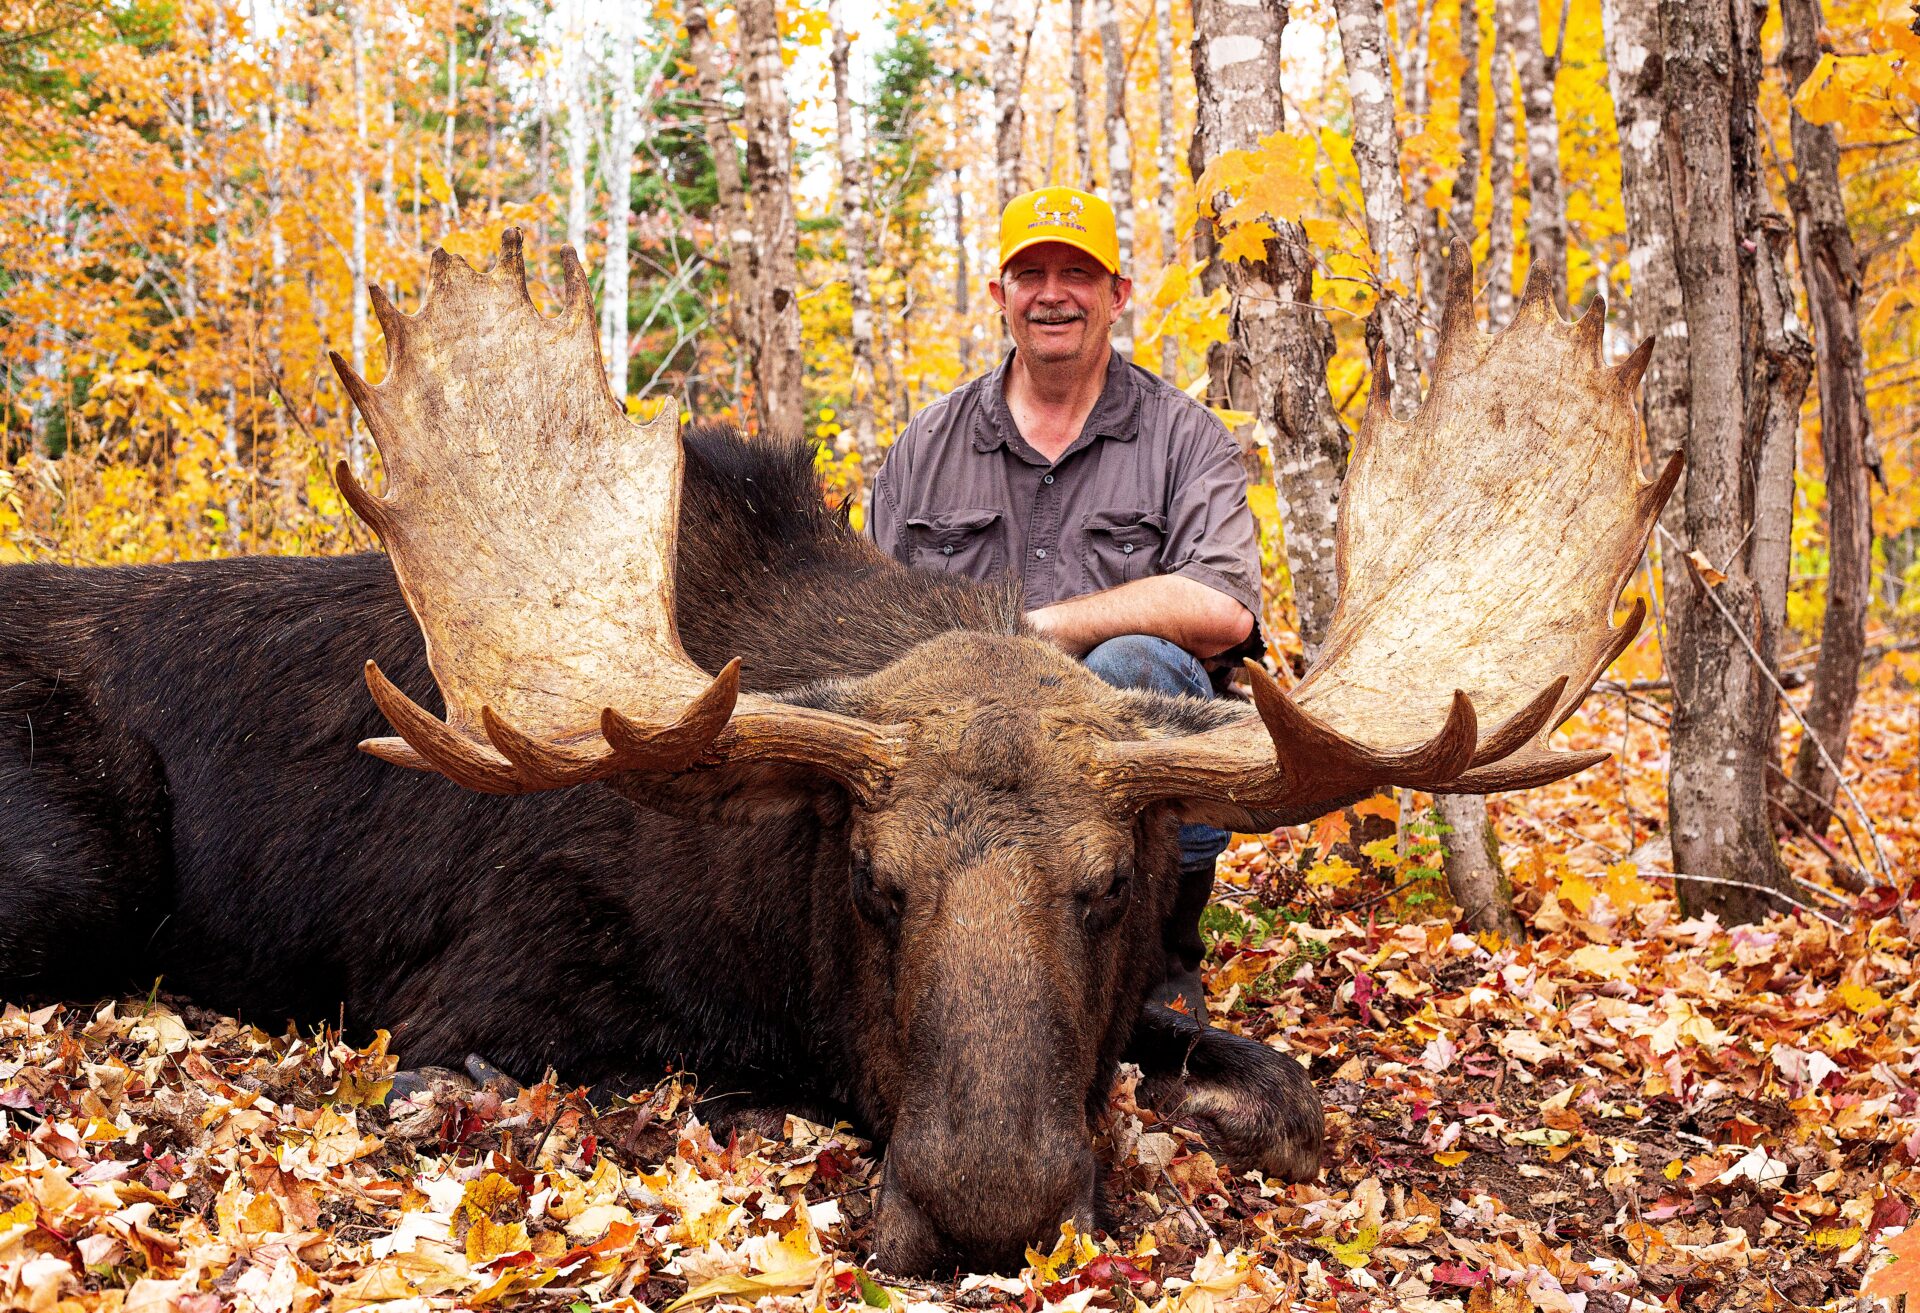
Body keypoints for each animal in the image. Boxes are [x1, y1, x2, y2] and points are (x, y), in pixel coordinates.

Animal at [0, 233, 1674, 1274]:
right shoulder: (462, 1006)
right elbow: (699, 1082)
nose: (992, 1207)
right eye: (876, 882)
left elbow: (1283, 1091)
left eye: (1104, 891)